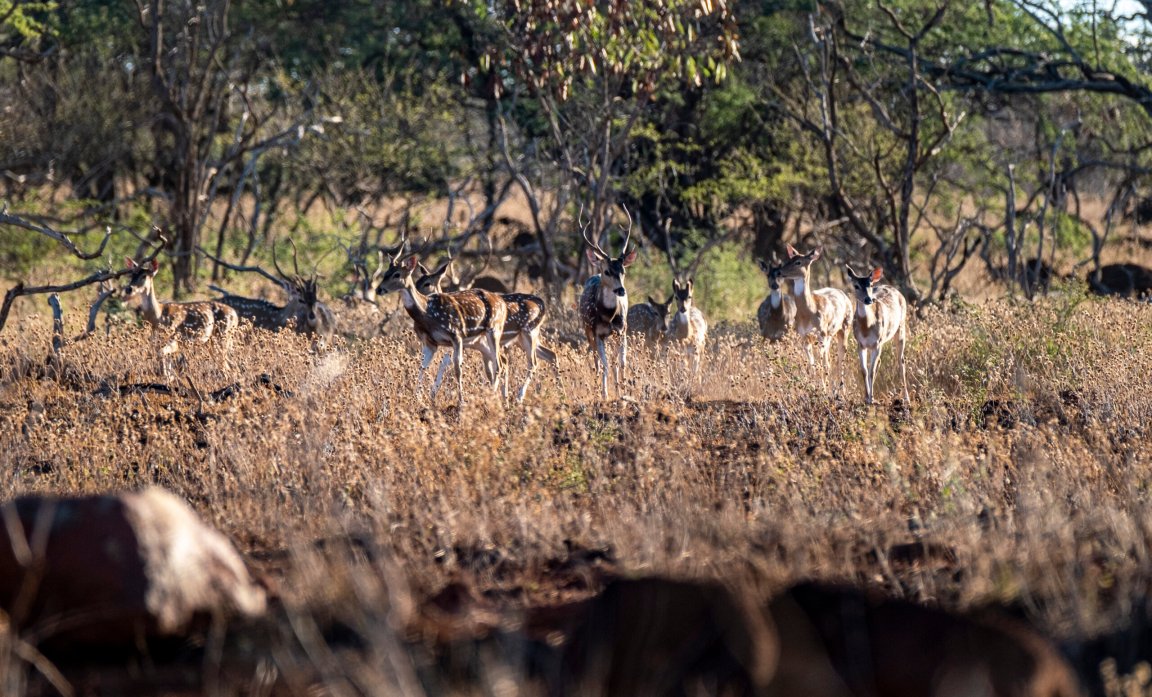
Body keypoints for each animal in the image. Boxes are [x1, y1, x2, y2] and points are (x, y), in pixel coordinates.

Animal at [376, 251, 507, 408]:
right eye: (385, 273)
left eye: (397, 274)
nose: (379, 289)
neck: (428, 314)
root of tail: (502, 303)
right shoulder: (430, 343)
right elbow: (422, 367)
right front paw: (416, 398)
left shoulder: (456, 335)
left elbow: (457, 369)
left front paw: (461, 401)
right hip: (480, 340)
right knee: (500, 361)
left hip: (494, 329)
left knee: (498, 364)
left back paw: (492, 397)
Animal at [579, 207, 638, 399]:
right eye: (607, 271)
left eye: (623, 271)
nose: (621, 291)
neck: (609, 316)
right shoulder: (598, 333)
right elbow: (603, 364)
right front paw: (605, 394)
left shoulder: (622, 330)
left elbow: (621, 362)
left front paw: (624, 391)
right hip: (586, 329)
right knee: (596, 361)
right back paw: (598, 388)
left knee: (612, 361)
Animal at [777, 245, 852, 393]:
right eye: (789, 259)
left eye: (798, 262)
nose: (780, 271)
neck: (808, 313)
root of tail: (844, 295)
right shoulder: (804, 336)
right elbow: (812, 366)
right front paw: (813, 387)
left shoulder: (821, 334)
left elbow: (820, 365)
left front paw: (823, 389)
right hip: (829, 337)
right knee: (828, 361)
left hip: (844, 328)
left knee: (840, 359)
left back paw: (841, 390)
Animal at [846, 265, 910, 405]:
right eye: (856, 285)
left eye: (870, 284)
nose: (868, 299)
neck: (866, 327)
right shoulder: (861, 344)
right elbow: (864, 370)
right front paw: (866, 397)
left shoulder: (877, 343)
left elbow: (872, 371)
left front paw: (871, 398)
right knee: (879, 362)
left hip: (901, 327)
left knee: (901, 361)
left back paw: (906, 398)